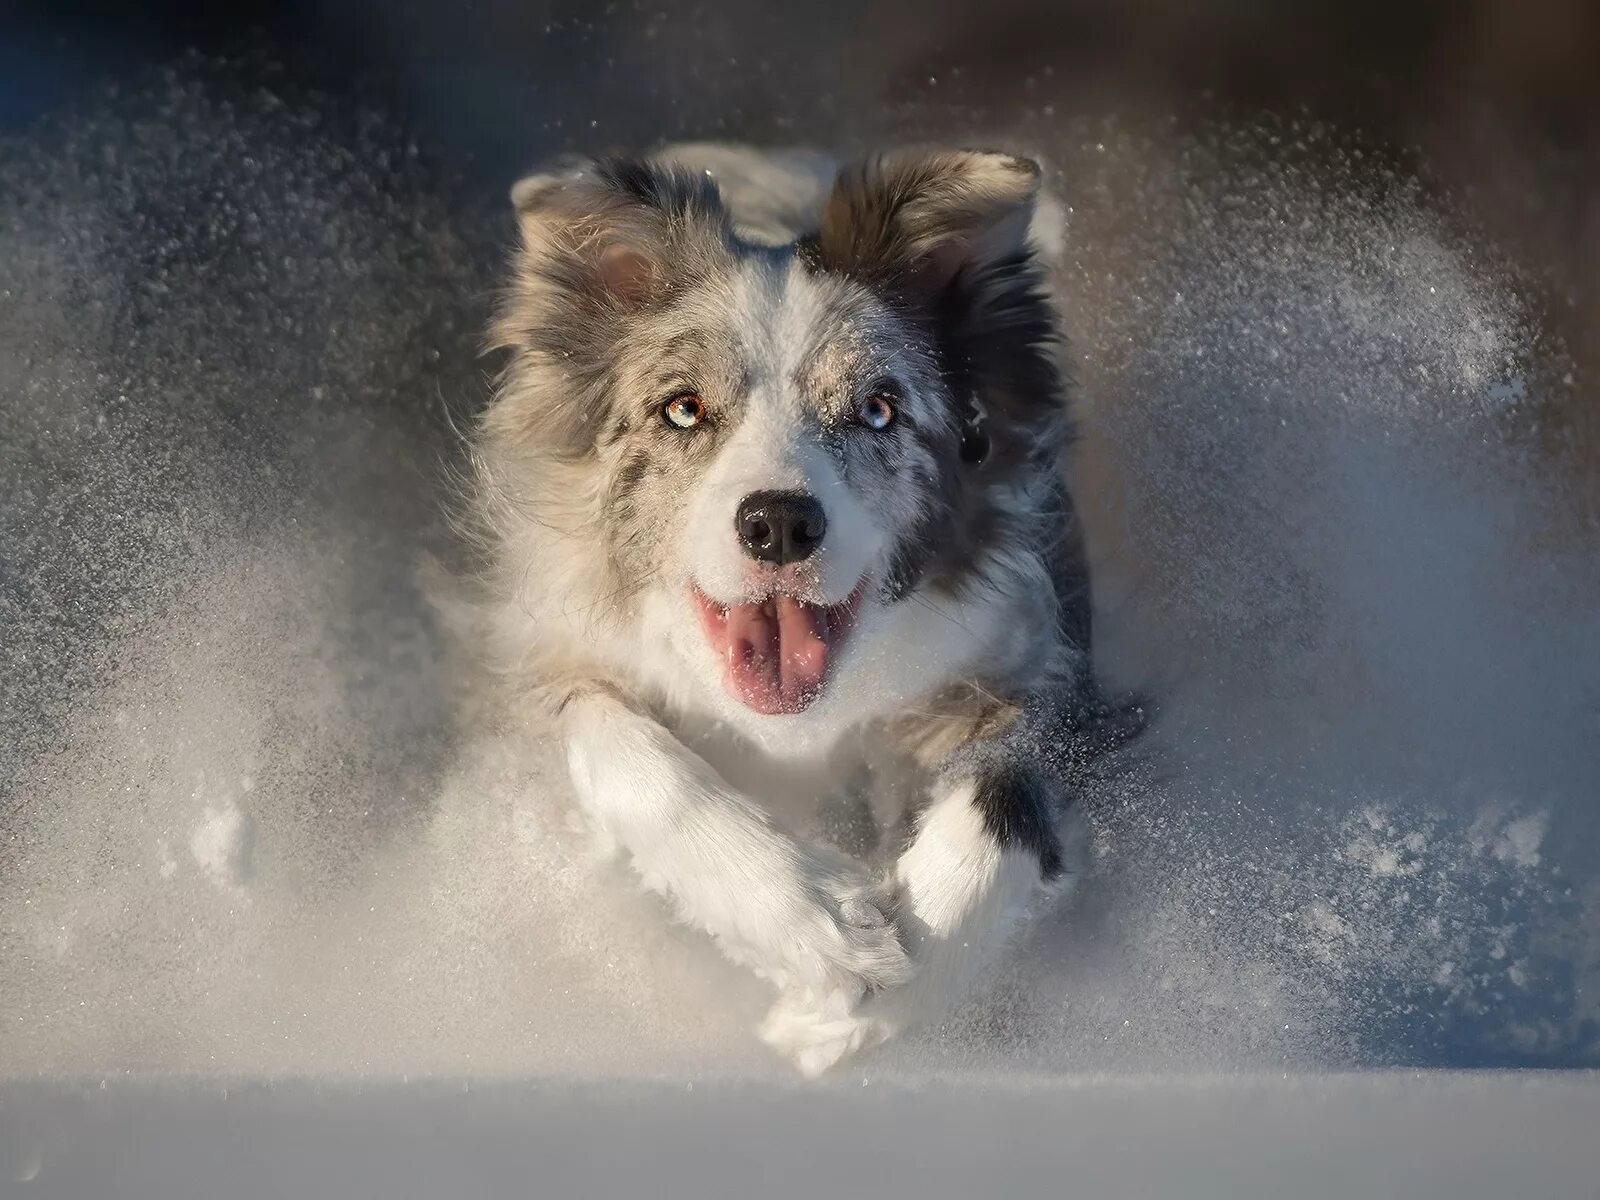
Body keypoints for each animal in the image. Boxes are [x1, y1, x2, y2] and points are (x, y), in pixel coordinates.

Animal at [457, 145, 1139, 1075]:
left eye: (879, 408)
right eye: (683, 408)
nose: (778, 522)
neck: (791, 732)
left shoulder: (1047, 673)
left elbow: (1005, 796)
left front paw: (867, 1007)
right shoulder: (535, 660)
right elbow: (613, 736)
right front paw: (813, 927)